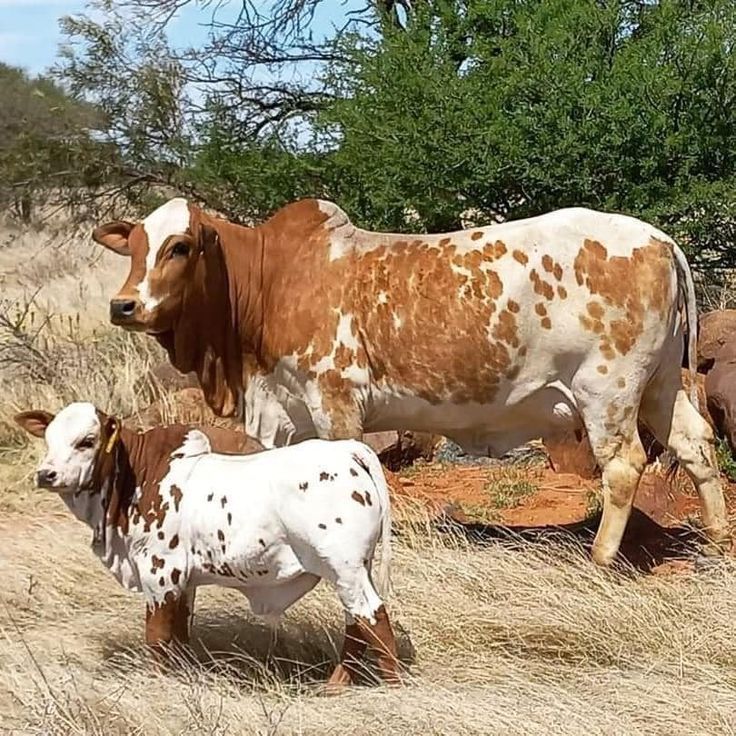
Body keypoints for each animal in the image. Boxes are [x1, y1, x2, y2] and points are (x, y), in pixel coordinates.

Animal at [93, 198, 732, 568]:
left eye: (179, 246)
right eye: (134, 247)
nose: (124, 305)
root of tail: (660, 239)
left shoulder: (335, 401)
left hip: (608, 389)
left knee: (623, 466)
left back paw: (599, 558)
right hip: (660, 384)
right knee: (697, 446)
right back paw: (718, 540)